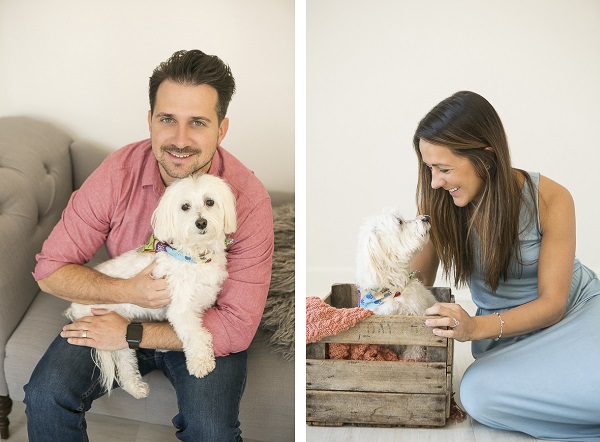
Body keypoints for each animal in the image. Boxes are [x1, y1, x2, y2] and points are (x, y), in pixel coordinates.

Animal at [65, 174, 234, 398]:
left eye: (210, 202)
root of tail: (74, 307)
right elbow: (196, 335)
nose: (201, 222)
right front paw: (200, 362)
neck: (194, 256)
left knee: (124, 362)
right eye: (185, 206)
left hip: (116, 331)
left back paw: (135, 388)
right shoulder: (181, 310)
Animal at [356, 209, 436, 360]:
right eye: (399, 222)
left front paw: (411, 357)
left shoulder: (416, 316)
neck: (394, 289)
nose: (426, 218)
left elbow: (415, 344)